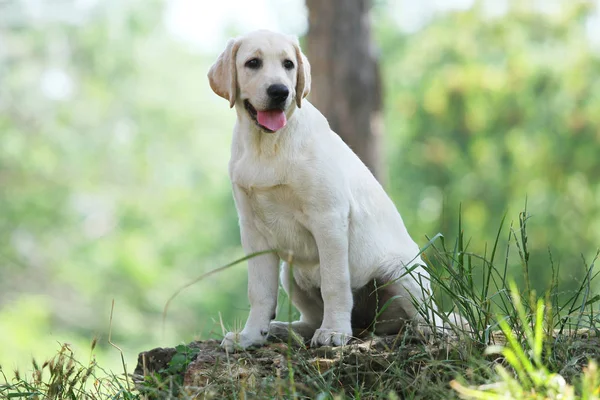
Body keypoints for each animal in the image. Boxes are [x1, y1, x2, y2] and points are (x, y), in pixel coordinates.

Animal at [209, 30, 448, 350]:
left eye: (288, 64)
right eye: (253, 63)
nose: (280, 92)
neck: (268, 145)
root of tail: (366, 325)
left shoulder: (329, 218)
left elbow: (335, 283)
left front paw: (334, 331)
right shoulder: (252, 229)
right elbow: (259, 291)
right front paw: (250, 336)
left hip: (400, 271)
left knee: (430, 318)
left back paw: (423, 330)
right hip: (291, 274)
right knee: (311, 319)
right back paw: (284, 329)